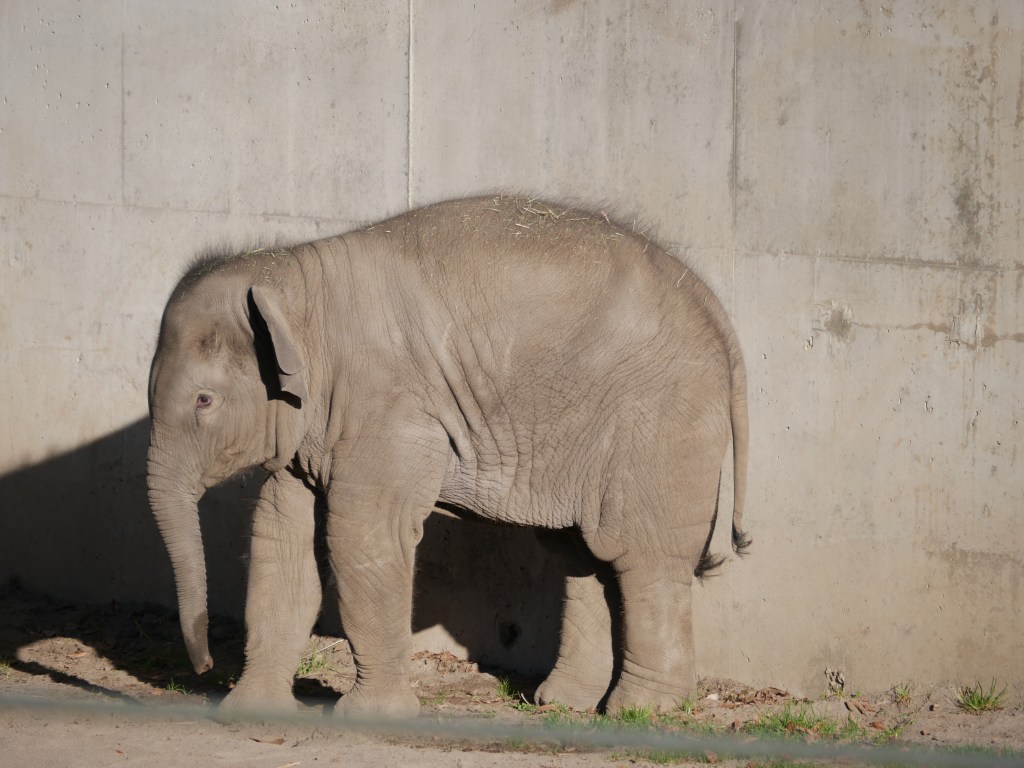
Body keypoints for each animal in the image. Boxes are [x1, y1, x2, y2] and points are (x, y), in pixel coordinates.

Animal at [146, 195, 750, 719]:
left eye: (203, 400)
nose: (202, 667)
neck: (291, 275)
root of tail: (718, 314)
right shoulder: (311, 427)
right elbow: (281, 535)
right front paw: (249, 712)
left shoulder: (388, 407)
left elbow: (363, 536)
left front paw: (372, 717)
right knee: (586, 555)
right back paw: (564, 703)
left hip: (660, 423)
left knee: (642, 555)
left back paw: (643, 710)